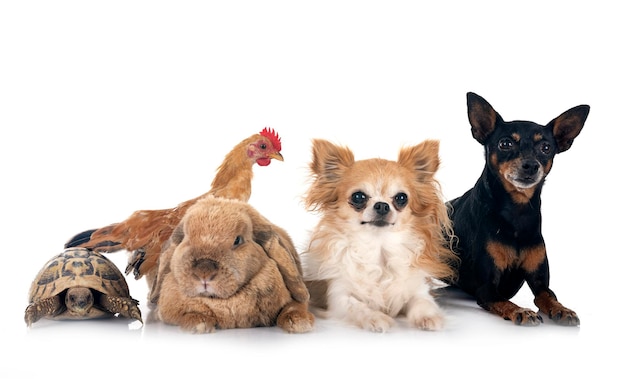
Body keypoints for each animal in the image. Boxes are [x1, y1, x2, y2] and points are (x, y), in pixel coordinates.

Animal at [149, 194, 314, 334]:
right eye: (186, 239)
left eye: (237, 240)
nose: (204, 273)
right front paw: (197, 323)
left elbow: (293, 307)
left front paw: (300, 322)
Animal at [446, 93, 588, 326]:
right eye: (505, 143)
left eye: (546, 148)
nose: (531, 165)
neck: (517, 213)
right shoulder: (487, 289)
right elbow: (505, 302)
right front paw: (521, 311)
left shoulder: (540, 283)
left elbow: (548, 296)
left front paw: (562, 309)